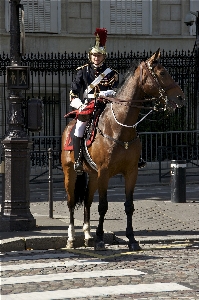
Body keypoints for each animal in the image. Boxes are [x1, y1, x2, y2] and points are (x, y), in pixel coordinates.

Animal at [61, 49, 185, 251]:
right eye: (162, 73)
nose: (181, 98)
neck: (120, 127)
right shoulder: (104, 172)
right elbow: (103, 206)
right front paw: (100, 239)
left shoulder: (131, 172)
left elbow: (128, 205)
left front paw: (132, 239)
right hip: (70, 171)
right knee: (71, 202)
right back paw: (72, 238)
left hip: (92, 175)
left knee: (87, 201)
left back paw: (87, 236)